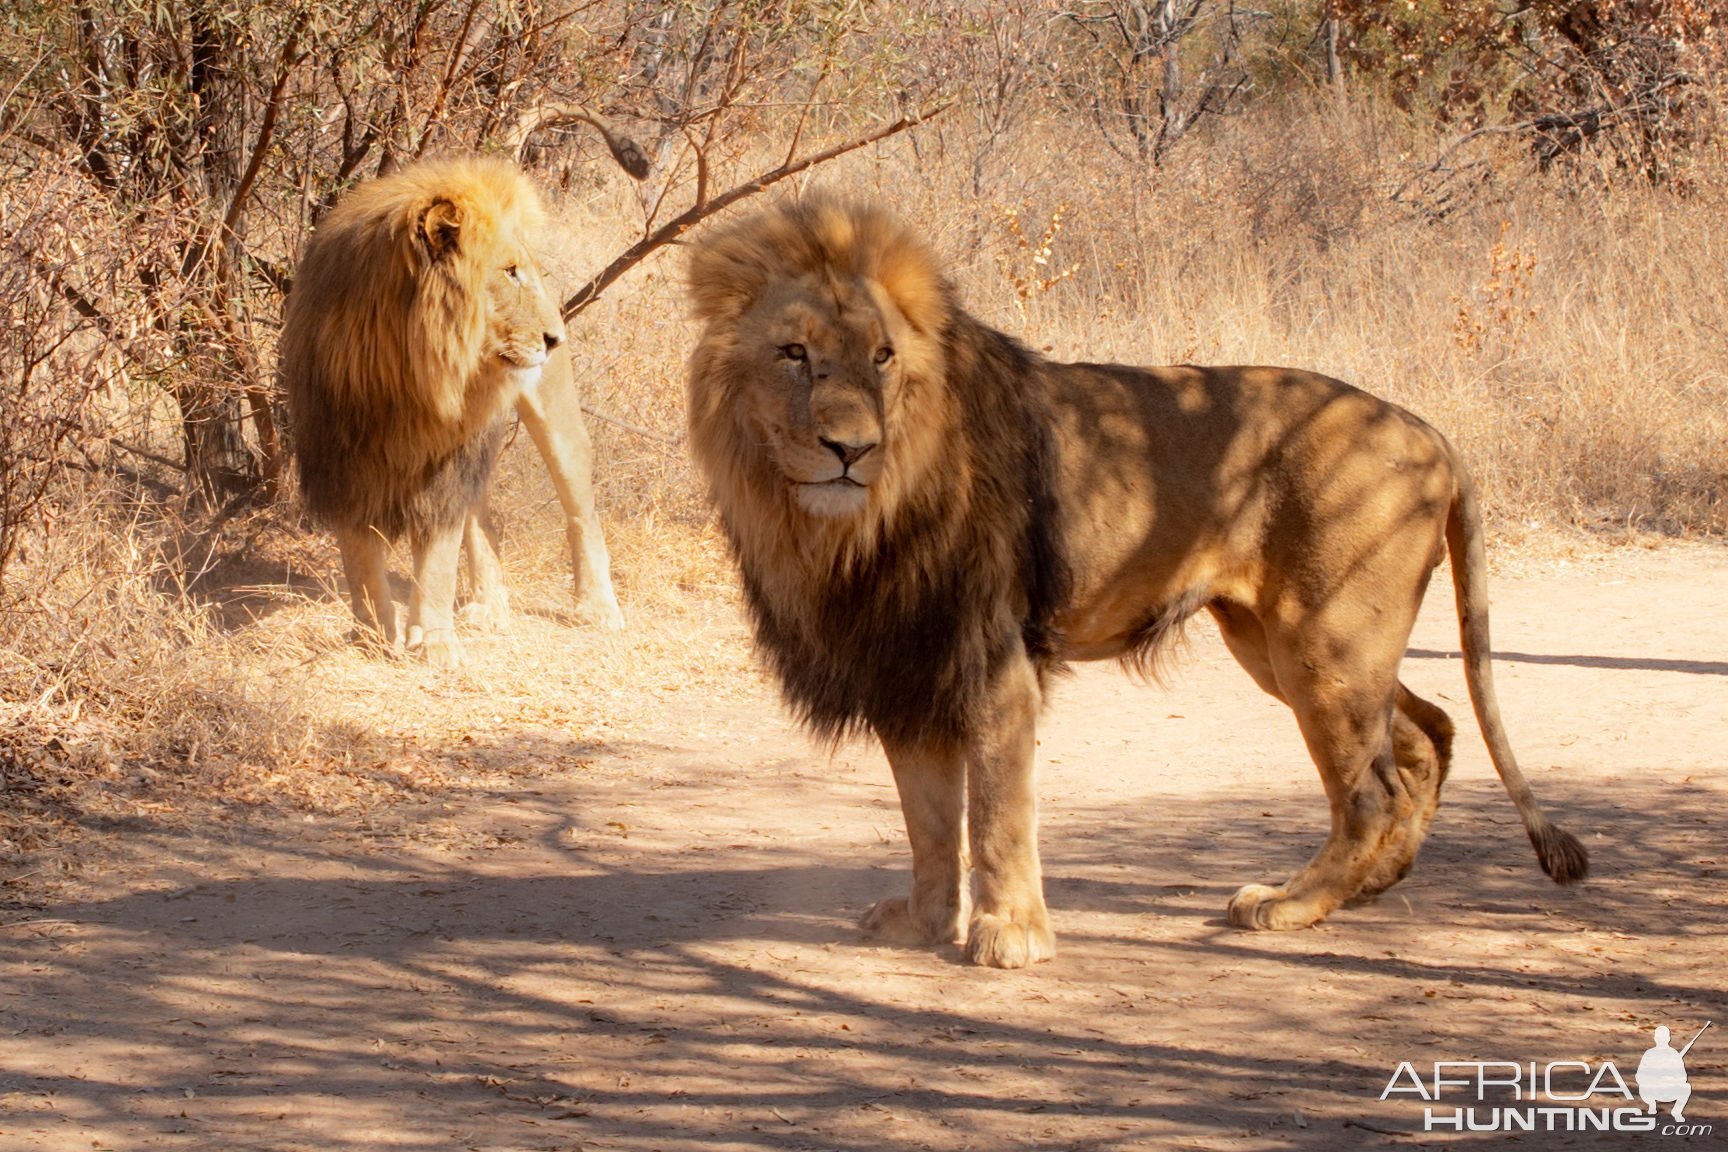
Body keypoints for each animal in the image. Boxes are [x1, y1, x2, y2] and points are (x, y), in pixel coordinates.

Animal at [283, 152, 628, 666]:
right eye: (509, 272)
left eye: (522, 270)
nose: (555, 338)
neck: (408, 375)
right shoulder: (343, 461)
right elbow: (360, 563)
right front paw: (372, 637)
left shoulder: (443, 469)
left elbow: (439, 564)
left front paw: (434, 643)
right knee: (485, 520)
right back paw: (489, 605)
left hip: (554, 420)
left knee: (580, 511)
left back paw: (597, 607)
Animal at [684, 200, 1589, 974]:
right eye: (794, 355)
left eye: (882, 357)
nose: (851, 449)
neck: (849, 525)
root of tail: (1429, 431)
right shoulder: (910, 659)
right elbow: (930, 820)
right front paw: (924, 923)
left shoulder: (990, 658)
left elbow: (998, 813)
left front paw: (1011, 936)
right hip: (1286, 642)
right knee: (1425, 735)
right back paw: (1371, 886)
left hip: (1323, 643)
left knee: (1372, 788)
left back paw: (1292, 904)